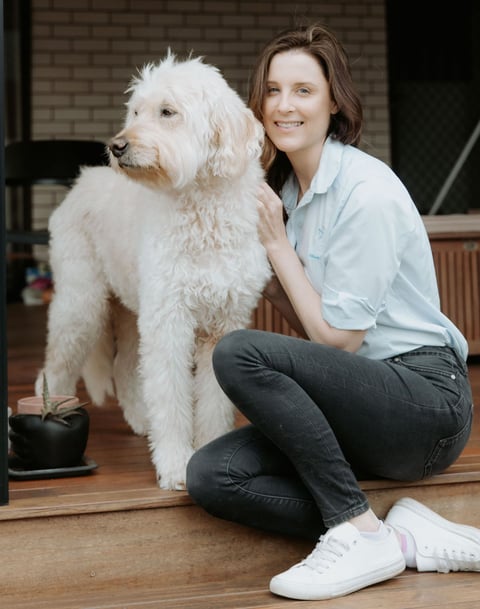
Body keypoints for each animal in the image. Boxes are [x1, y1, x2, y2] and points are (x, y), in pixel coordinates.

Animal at [35, 52, 272, 490]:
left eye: (167, 112)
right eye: (135, 111)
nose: (116, 146)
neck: (201, 209)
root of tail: (81, 180)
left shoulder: (222, 324)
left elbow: (212, 402)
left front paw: (206, 449)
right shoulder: (169, 321)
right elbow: (171, 394)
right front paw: (176, 465)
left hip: (130, 308)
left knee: (125, 368)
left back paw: (141, 421)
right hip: (82, 304)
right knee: (54, 368)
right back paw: (45, 416)